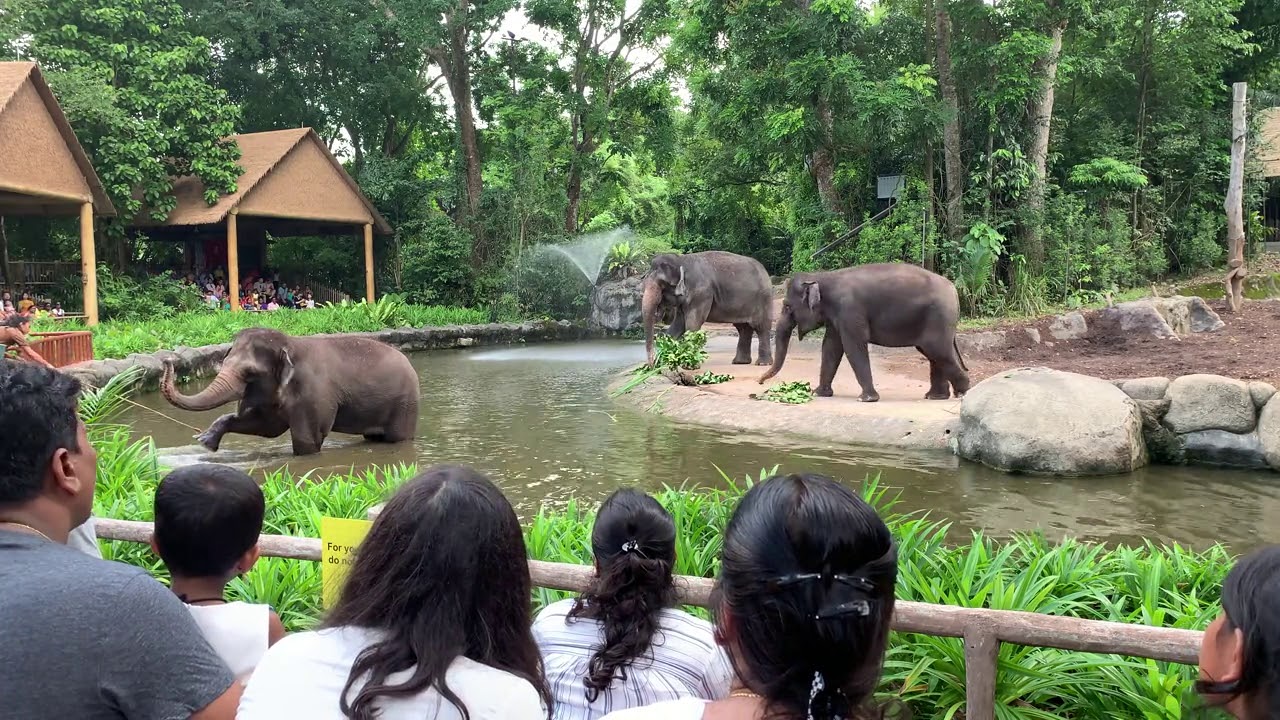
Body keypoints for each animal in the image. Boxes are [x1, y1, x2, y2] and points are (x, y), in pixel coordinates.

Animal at [160, 328, 420, 456]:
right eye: (223, 362)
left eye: (249, 372)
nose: (167, 360)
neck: (290, 343)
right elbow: (268, 428)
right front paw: (205, 442)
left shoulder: (314, 395)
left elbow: (308, 440)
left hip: (405, 404)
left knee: (397, 437)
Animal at [641, 251, 774, 367]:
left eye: (663, 285)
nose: (651, 365)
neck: (681, 260)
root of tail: (765, 272)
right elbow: (678, 325)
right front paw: (664, 361)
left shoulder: (701, 293)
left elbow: (692, 325)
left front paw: (689, 365)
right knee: (743, 328)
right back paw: (740, 362)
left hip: (763, 299)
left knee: (761, 327)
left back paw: (763, 363)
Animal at [757, 263, 969, 402]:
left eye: (786, 307)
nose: (759, 382)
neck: (823, 277)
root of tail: (954, 290)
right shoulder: (836, 317)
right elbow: (830, 348)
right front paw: (819, 393)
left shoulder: (850, 311)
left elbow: (854, 346)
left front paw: (866, 399)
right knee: (934, 354)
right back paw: (936, 397)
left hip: (938, 317)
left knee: (937, 351)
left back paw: (963, 392)